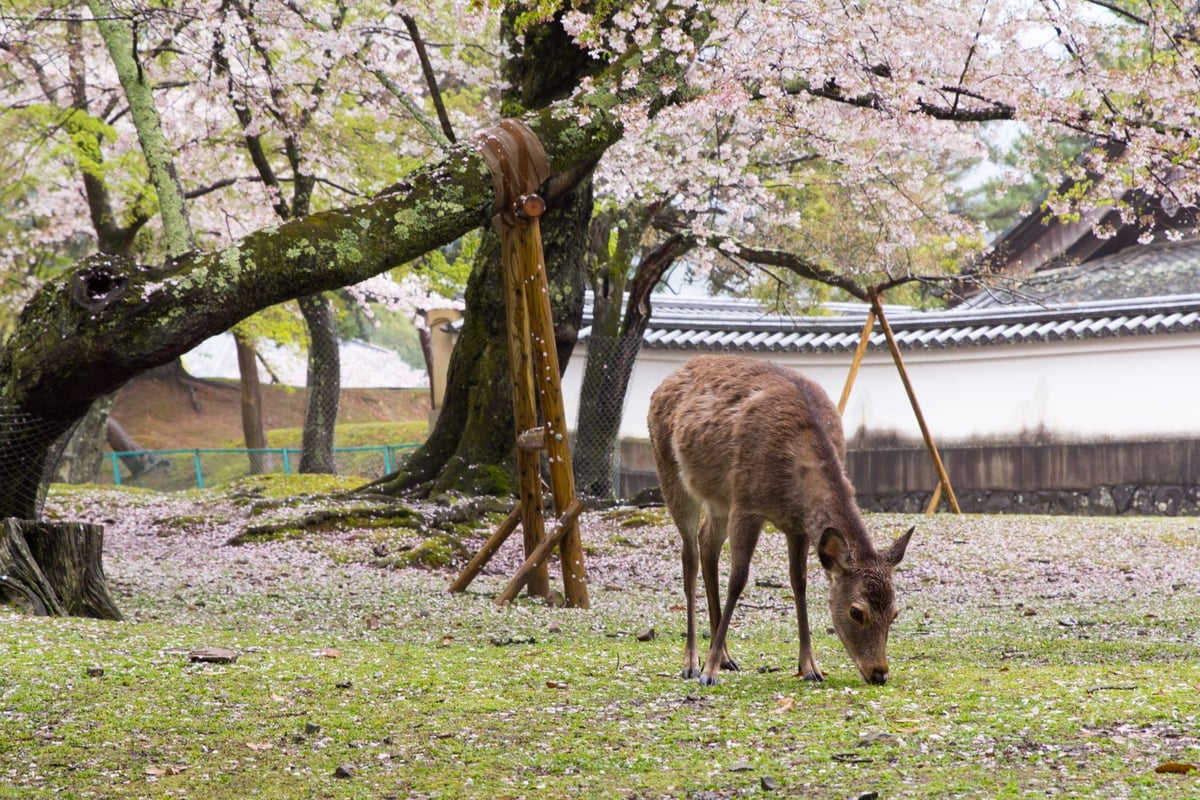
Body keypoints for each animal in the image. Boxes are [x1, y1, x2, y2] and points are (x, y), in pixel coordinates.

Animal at [647, 355, 914, 686]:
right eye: (856, 611)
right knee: (690, 556)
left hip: (718, 499)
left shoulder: (797, 525)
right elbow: (738, 579)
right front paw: (708, 673)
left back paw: (726, 657)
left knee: (706, 543)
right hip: (670, 473)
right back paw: (692, 662)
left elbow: (799, 582)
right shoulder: (746, 503)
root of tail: (669, 378)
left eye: (895, 613)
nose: (879, 672)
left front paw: (810, 667)